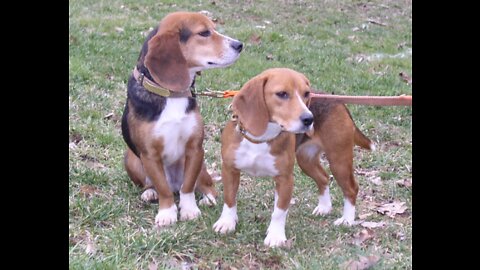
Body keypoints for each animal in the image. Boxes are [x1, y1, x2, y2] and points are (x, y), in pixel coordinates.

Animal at [120, 12, 244, 227]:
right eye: (204, 33)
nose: (239, 45)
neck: (172, 94)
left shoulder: (195, 148)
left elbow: (188, 187)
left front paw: (189, 210)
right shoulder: (149, 155)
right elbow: (163, 188)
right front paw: (167, 213)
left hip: (201, 166)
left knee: (204, 185)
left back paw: (207, 198)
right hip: (131, 158)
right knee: (156, 185)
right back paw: (149, 193)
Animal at [214, 67, 376, 247]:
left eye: (306, 93)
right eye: (282, 94)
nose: (309, 119)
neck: (261, 138)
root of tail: (337, 101)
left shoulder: (285, 179)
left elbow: (279, 211)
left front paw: (275, 236)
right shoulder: (229, 170)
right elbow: (229, 199)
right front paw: (227, 222)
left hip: (339, 159)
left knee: (351, 188)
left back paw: (347, 220)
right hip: (306, 160)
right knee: (323, 177)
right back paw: (324, 208)